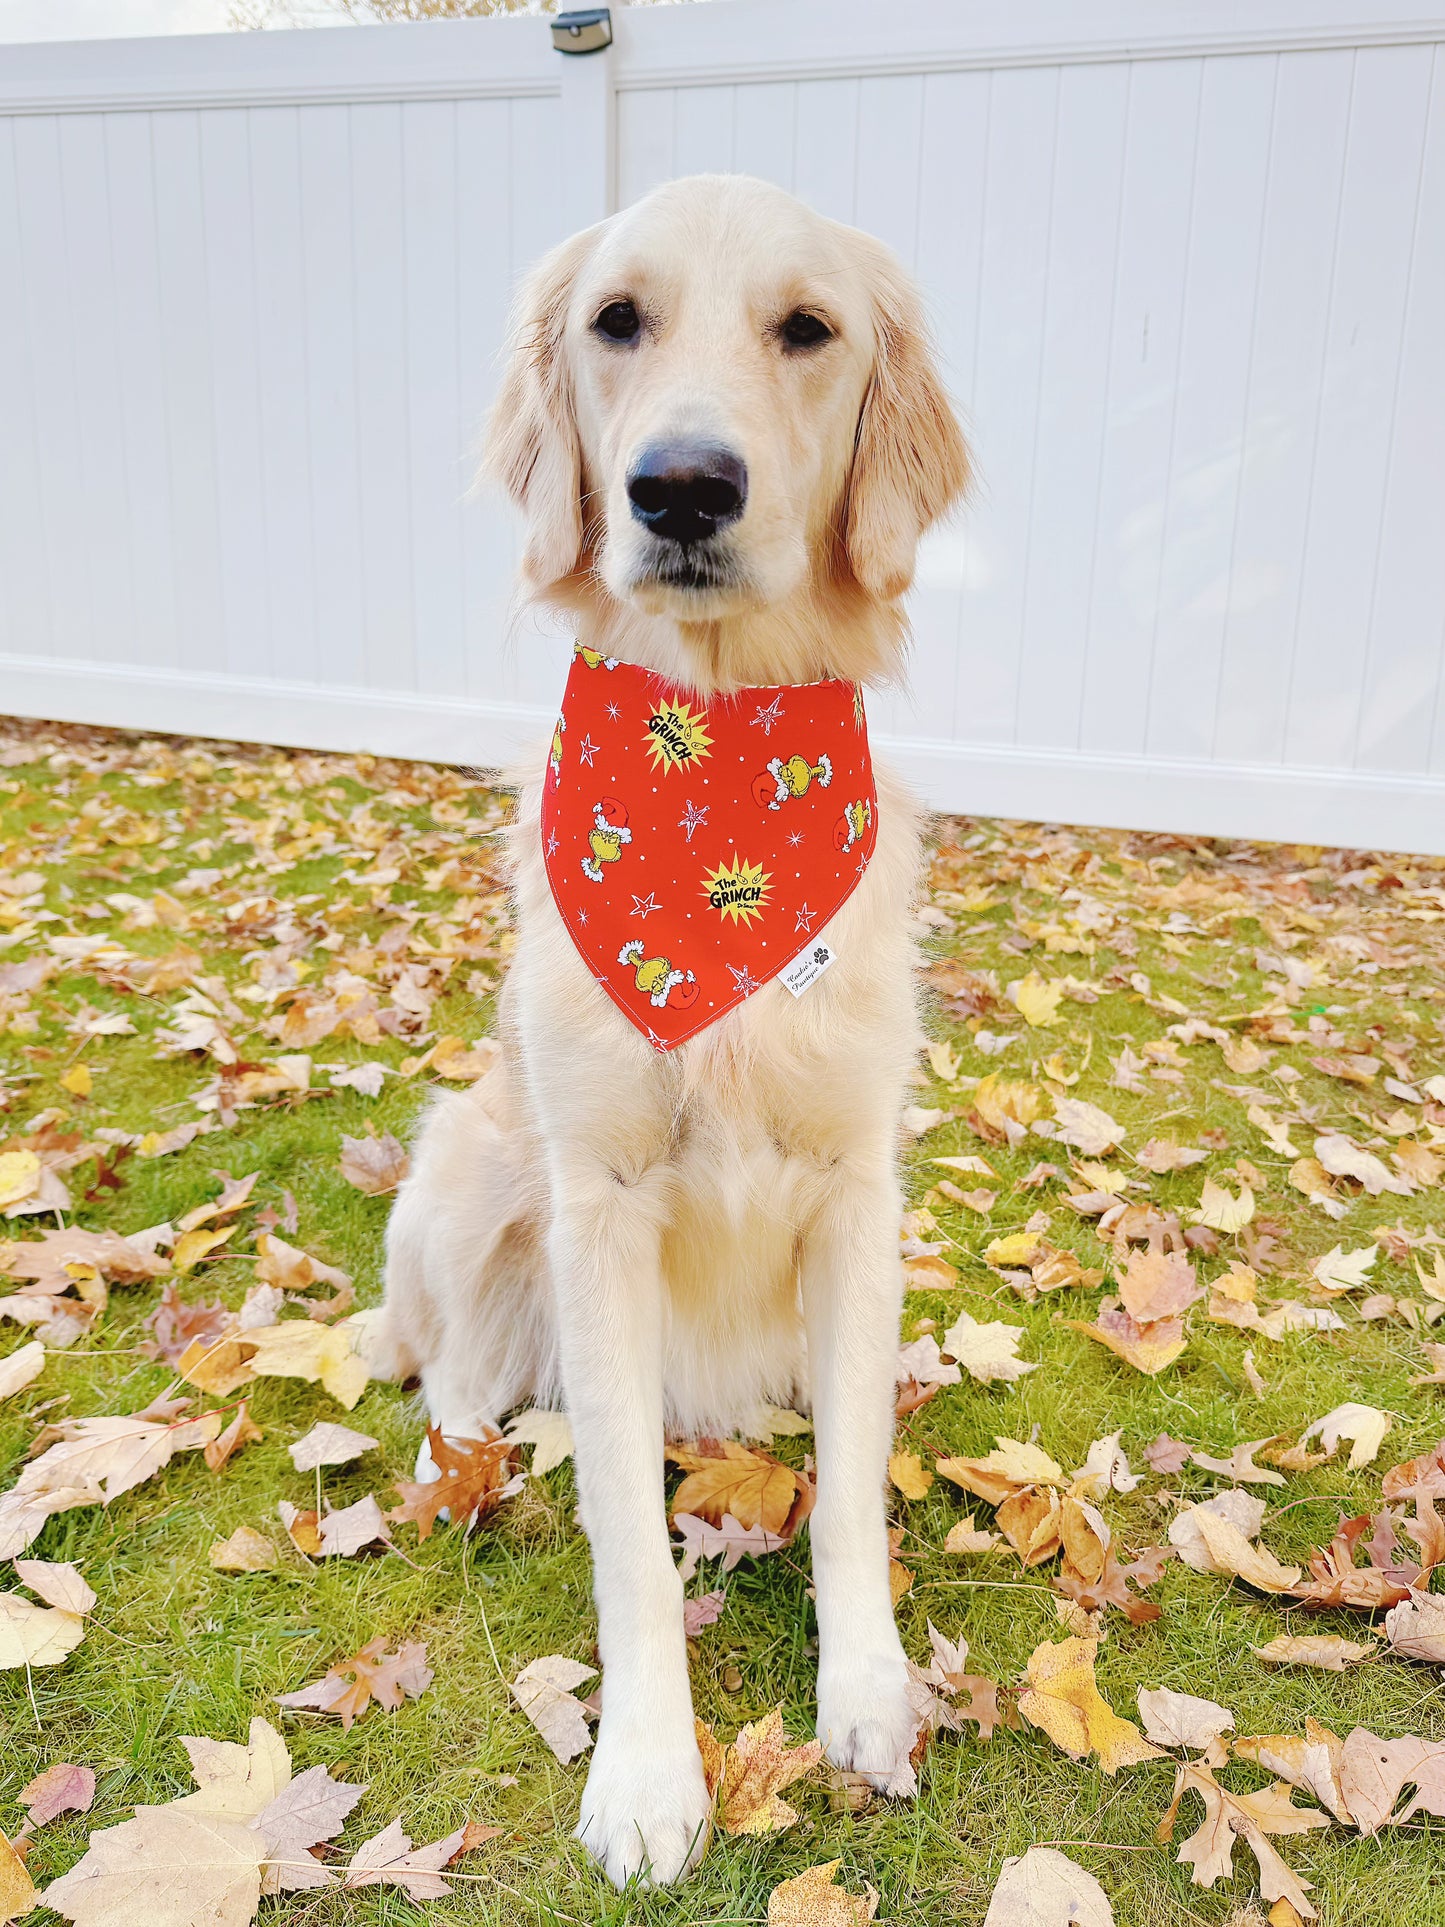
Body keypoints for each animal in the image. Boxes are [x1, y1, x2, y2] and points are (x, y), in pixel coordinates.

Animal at [373, 173, 967, 1888]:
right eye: (616, 320)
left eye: (808, 328)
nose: (683, 488)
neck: (715, 766)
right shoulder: (599, 1201)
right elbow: (630, 1542)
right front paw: (643, 1774)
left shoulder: (857, 1194)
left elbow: (846, 1494)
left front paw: (867, 1692)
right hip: (471, 1159)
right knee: (453, 1368)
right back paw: (461, 1461)